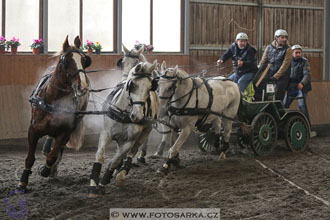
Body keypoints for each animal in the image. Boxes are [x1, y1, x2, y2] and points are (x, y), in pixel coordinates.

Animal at [17, 36, 91, 191]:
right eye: (67, 61)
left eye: (83, 60)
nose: (83, 87)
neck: (53, 98)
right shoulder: (33, 130)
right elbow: (29, 158)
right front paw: (23, 181)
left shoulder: (64, 132)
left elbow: (53, 156)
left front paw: (45, 170)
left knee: (59, 149)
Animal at [87, 61, 160, 197]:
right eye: (133, 85)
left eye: (149, 88)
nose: (137, 116)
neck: (124, 113)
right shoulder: (106, 133)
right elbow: (100, 155)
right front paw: (93, 186)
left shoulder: (129, 141)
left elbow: (114, 161)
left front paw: (103, 183)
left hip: (145, 132)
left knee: (133, 151)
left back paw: (122, 173)